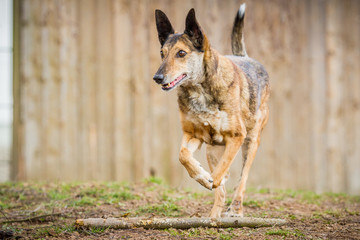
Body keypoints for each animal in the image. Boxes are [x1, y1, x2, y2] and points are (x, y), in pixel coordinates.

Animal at [153, 3, 268, 218]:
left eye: (181, 53)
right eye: (162, 53)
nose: (157, 77)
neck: (200, 90)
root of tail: (244, 57)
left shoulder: (237, 136)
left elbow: (223, 169)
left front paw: (211, 178)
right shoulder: (194, 134)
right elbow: (182, 155)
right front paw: (201, 175)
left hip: (251, 141)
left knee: (242, 178)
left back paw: (235, 210)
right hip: (211, 149)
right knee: (221, 189)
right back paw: (213, 216)